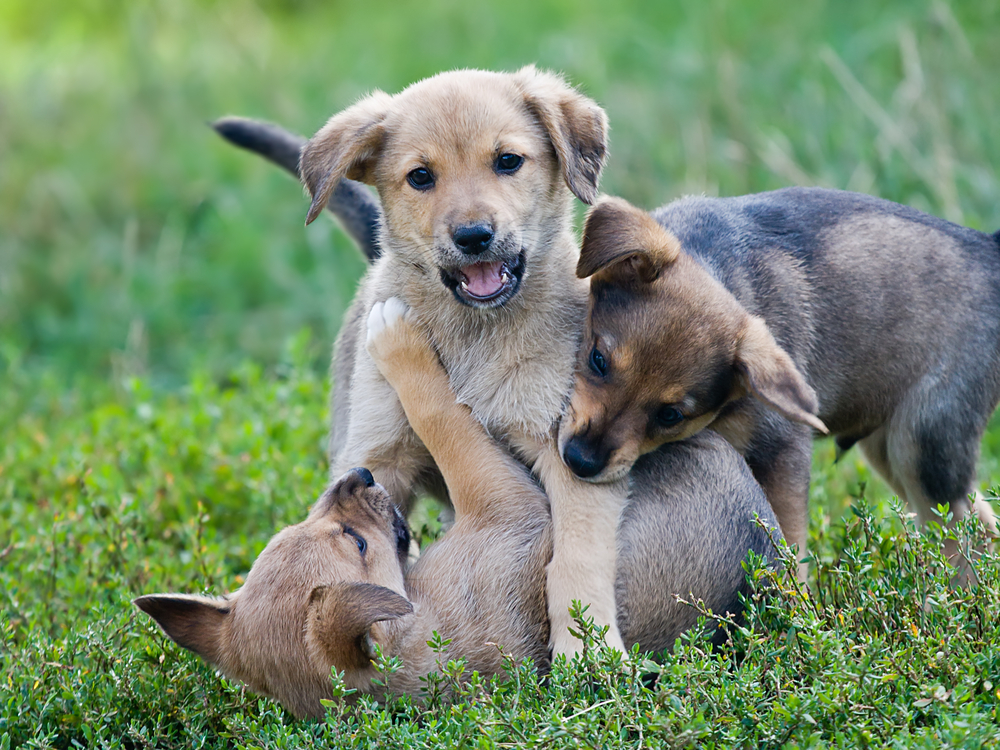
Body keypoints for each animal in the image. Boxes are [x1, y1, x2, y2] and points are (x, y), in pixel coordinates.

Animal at [137, 300, 784, 724]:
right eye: (357, 543)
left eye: (299, 527)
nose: (358, 476)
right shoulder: (506, 506)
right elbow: (444, 417)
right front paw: (397, 339)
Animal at [296, 67, 628, 656]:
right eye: (420, 176)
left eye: (508, 161)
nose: (474, 237)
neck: (475, 335)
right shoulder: (378, 455)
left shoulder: (567, 449)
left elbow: (577, 555)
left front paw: (586, 649)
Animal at [564, 189, 1000, 576]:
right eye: (598, 360)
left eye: (670, 416)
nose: (580, 461)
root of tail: (989, 249)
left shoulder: (783, 454)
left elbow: (790, 549)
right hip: (890, 449)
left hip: (923, 446)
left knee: (965, 539)